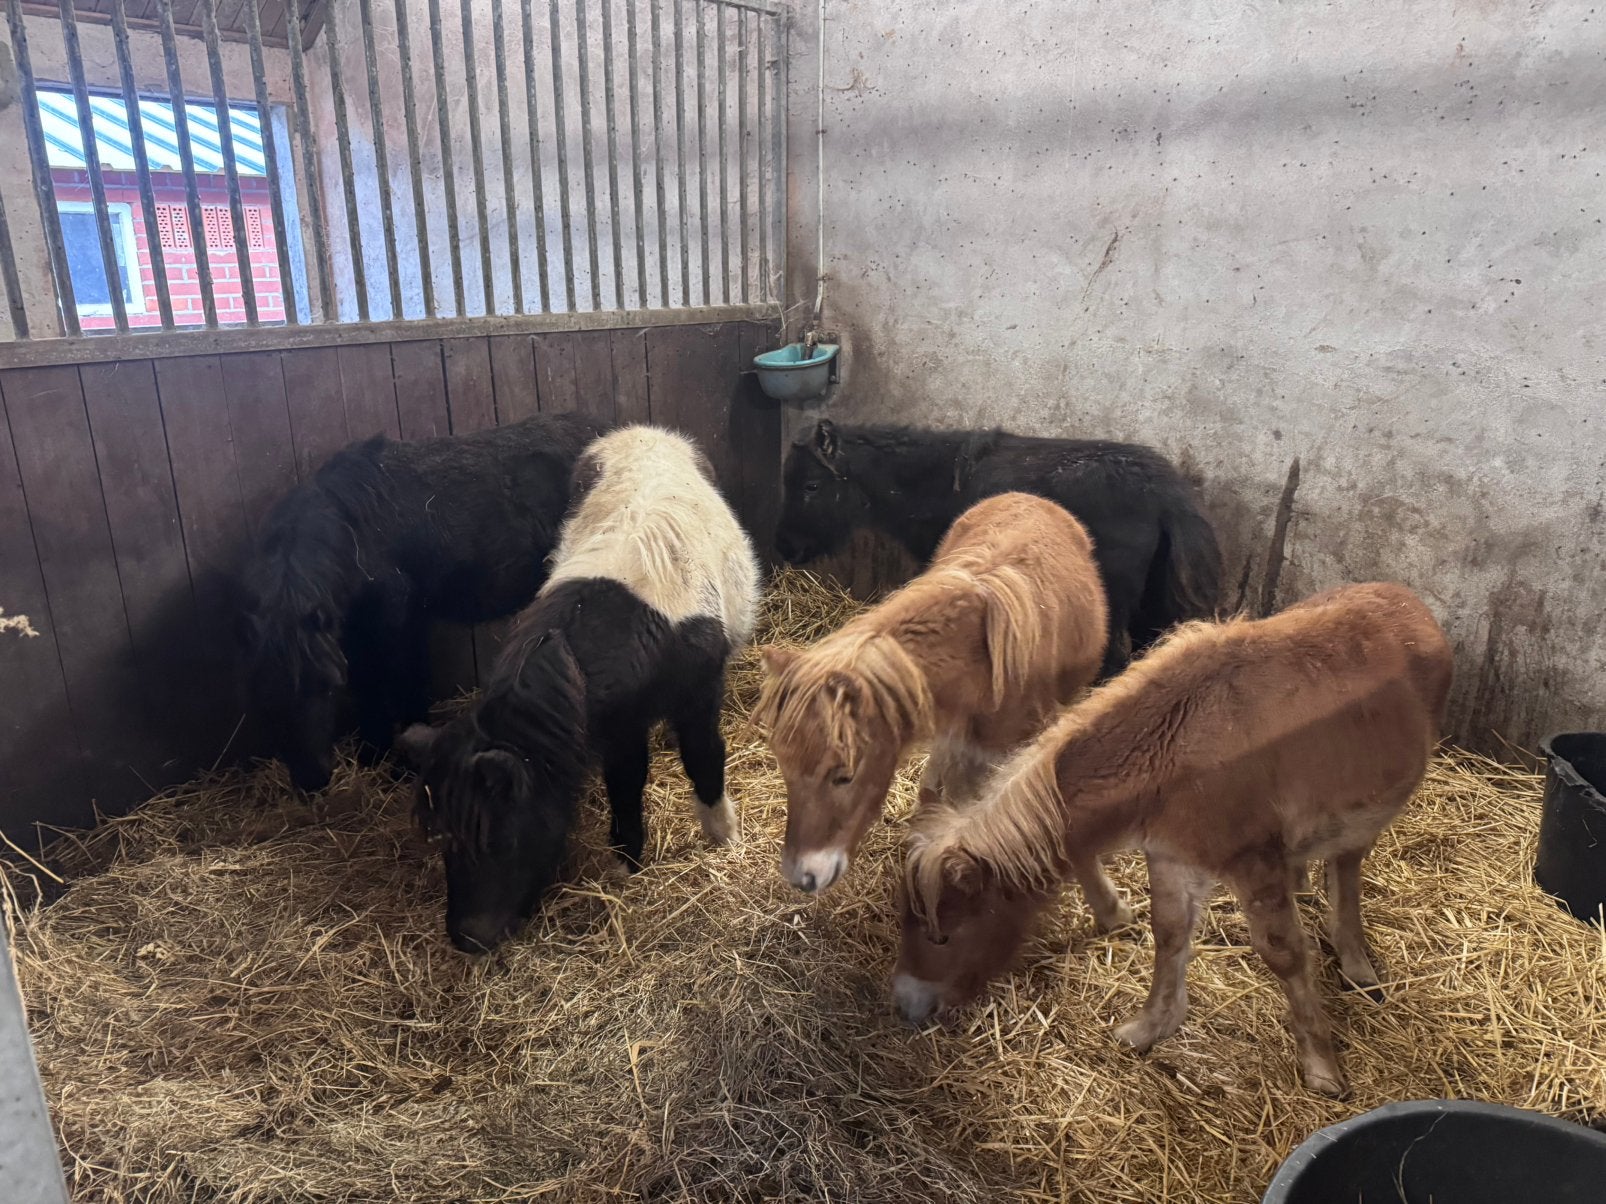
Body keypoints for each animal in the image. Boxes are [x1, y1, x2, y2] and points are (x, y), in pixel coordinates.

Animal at [236, 413, 606, 792]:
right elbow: (367, 684)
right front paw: (372, 754)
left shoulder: (400, 621)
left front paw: (404, 762)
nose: (312, 780)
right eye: (264, 695)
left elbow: (405, 681)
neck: (355, 530)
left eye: (326, 689)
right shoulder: (353, 631)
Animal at [397, 426, 759, 954]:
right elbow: (625, 781)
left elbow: (704, 756)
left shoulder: (701, 686)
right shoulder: (618, 727)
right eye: (442, 834)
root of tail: (642, 431)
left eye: (498, 837)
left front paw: (725, 840)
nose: (466, 939)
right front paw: (625, 869)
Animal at [756, 492, 1126, 926]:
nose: (802, 877)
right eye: (785, 767)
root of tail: (1028, 496)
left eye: (843, 775)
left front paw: (1112, 910)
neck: (985, 666)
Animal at [896, 582, 1453, 1097]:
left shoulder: (1253, 863)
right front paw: (1150, 1028)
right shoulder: (1170, 857)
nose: (905, 1005)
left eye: (943, 935)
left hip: (1372, 809)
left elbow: (1283, 953)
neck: (1174, 748)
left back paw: (1356, 961)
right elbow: (1168, 935)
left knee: (1347, 864)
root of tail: (1405, 600)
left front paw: (1321, 1065)